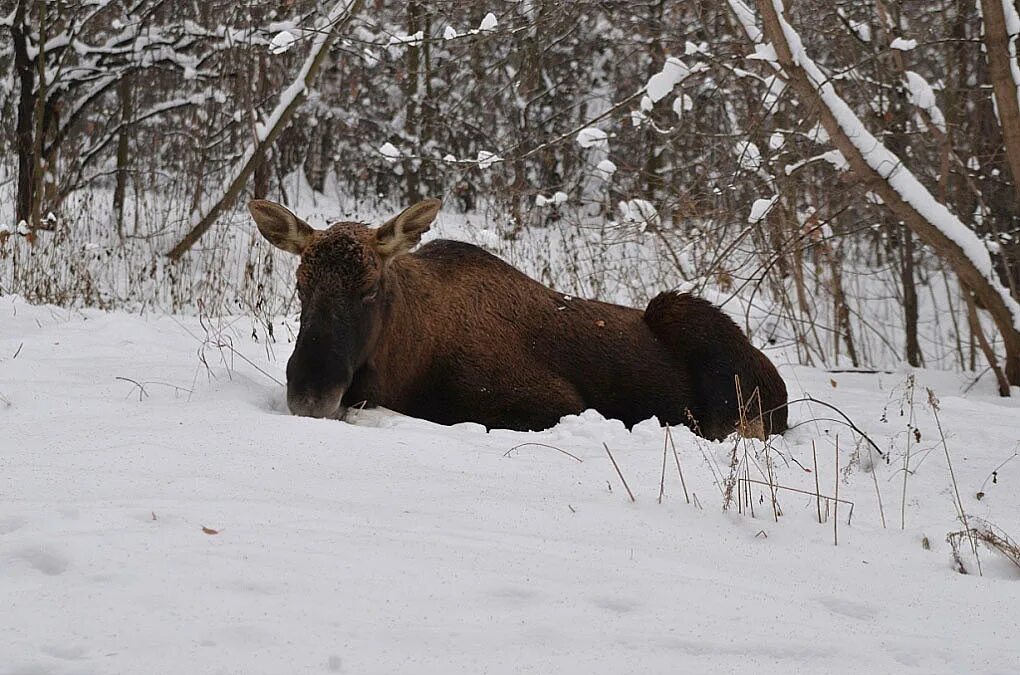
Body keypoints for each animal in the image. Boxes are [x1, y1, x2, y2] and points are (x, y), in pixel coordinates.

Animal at [248, 198, 787, 442]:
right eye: (301, 284)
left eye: (370, 288)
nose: (311, 392)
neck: (407, 360)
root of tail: (778, 385)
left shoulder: (554, 404)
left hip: (686, 322)